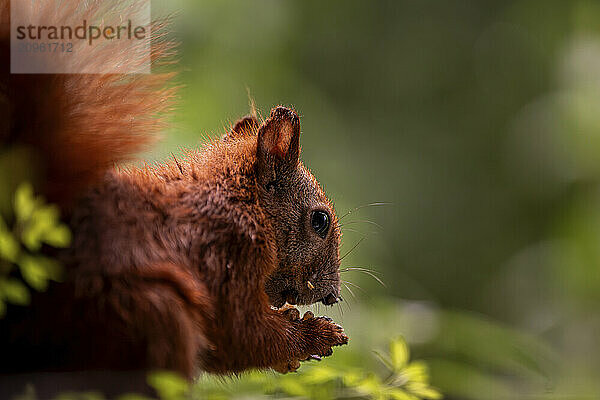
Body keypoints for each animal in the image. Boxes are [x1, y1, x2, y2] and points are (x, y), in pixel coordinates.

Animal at [0, 0, 346, 382]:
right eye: (319, 221)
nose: (332, 296)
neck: (240, 200)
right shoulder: (227, 252)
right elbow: (239, 334)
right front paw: (316, 334)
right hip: (146, 313)